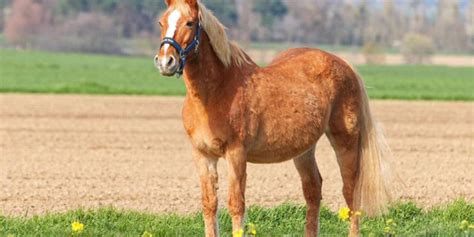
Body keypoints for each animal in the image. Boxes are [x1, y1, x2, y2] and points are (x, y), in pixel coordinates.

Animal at [155, 0, 392, 236]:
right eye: (161, 22)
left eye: (189, 22)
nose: (165, 62)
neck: (215, 92)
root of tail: (345, 65)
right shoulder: (202, 155)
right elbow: (209, 204)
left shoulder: (236, 154)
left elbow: (236, 205)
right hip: (304, 150)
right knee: (313, 190)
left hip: (346, 141)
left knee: (350, 192)